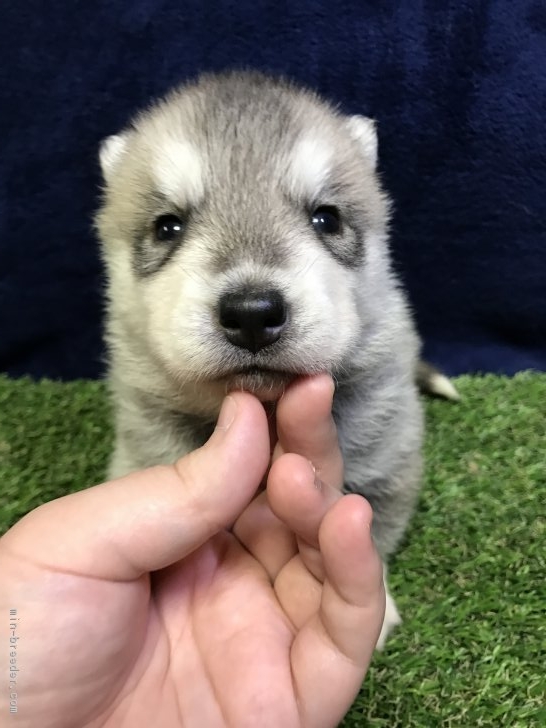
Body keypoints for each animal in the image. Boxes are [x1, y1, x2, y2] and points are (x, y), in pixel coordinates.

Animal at [96, 71, 446, 644]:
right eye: (167, 226)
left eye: (326, 218)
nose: (252, 313)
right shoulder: (149, 431)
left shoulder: (383, 446)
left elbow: (368, 523)